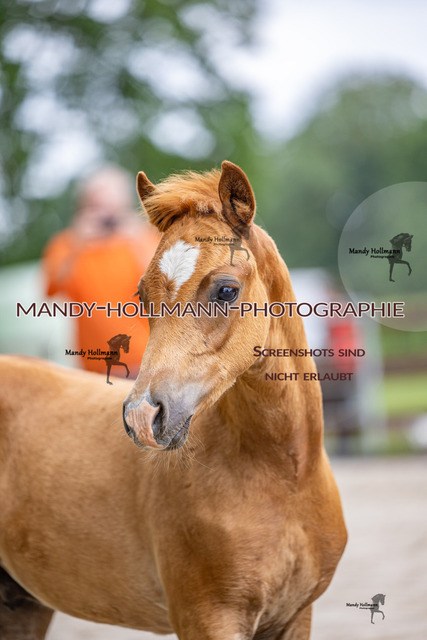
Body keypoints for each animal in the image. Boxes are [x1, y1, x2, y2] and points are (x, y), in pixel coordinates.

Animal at [0, 161, 347, 640]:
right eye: (141, 296)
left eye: (225, 290)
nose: (142, 417)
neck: (284, 479)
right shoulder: (206, 617)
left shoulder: (296, 616)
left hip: (22, 603)